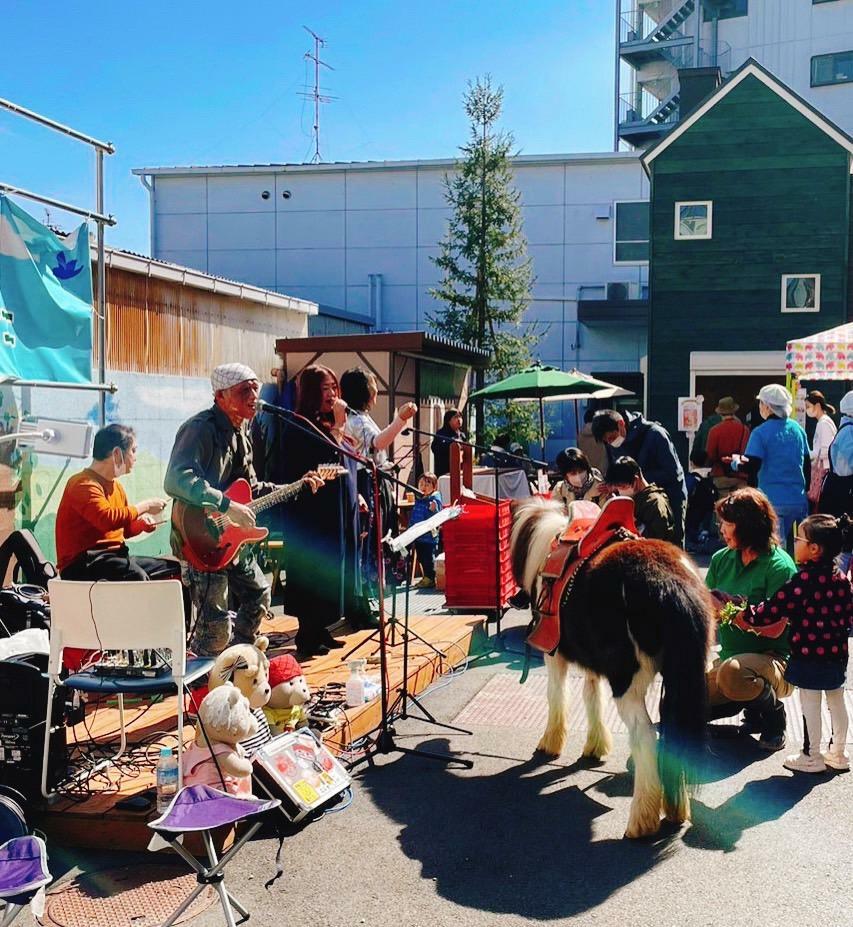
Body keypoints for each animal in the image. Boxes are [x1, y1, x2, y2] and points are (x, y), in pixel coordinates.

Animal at [512, 500, 712, 840]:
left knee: (644, 736)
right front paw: (595, 746)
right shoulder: (593, 665)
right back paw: (674, 810)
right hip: (678, 681)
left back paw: (642, 819)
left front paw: (551, 743)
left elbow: (557, 696)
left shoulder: (554, 658)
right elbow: (592, 697)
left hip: (628, 684)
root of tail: (670, 582)